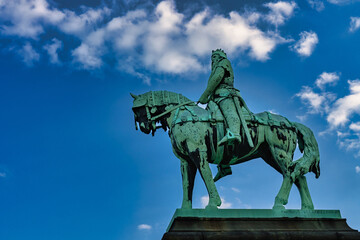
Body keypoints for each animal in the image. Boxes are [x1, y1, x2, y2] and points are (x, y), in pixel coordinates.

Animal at [131, 90, 320, 210]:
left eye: (138, 109)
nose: (144, 127)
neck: (182, 116)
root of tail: (290, 122)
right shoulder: (185, 161)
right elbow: (187, 184)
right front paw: (185, 209)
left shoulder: (198, 153)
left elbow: (206, 175)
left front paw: (213, 203)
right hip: (271, 156)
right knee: (299, 175)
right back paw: (307, 209)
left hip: (278, 152)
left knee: (289, 174)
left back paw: (279, 203)